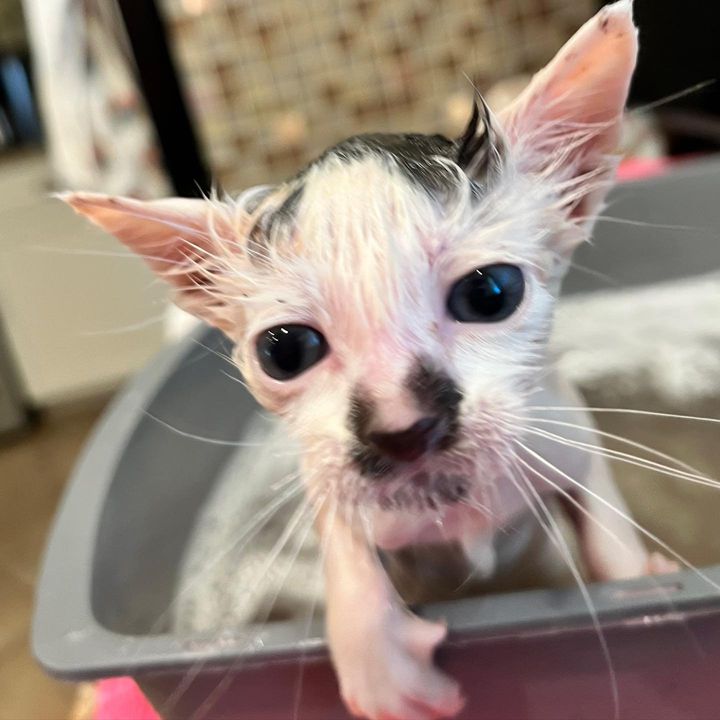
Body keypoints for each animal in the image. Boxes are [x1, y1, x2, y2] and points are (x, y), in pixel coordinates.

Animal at [60, 2, 676, 716]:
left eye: (489, 293)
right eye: (286, 350)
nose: (402, 425)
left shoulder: (561, 426)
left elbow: (602, 515)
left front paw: (640, 586)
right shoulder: (327, 478)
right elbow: (346, 538)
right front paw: (376, 655)